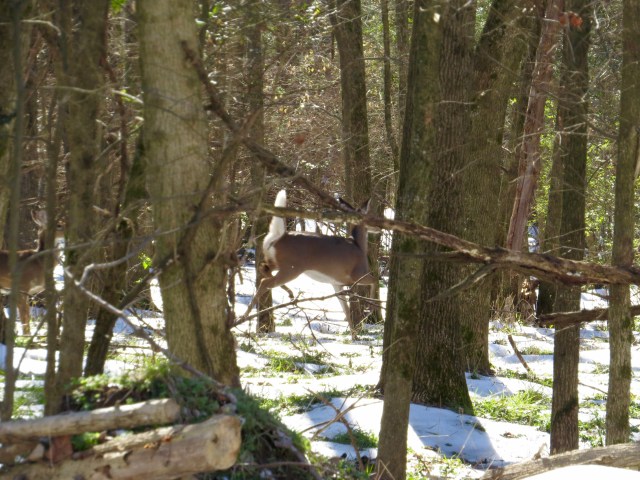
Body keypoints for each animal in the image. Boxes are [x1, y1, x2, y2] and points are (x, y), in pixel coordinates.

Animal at [242, 190, 375, 325]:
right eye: (370, 217)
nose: (378, 228)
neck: (359, 246)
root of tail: (279, 236)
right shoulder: (358, 274)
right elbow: (375, 281)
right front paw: (370, 308)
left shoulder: (337, 283)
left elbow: (347, 313)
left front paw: (353, 330)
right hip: (292, 267)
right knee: (265, 282)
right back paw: (245, 316)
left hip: (277, 262)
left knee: (262, 269)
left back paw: (288, 294)